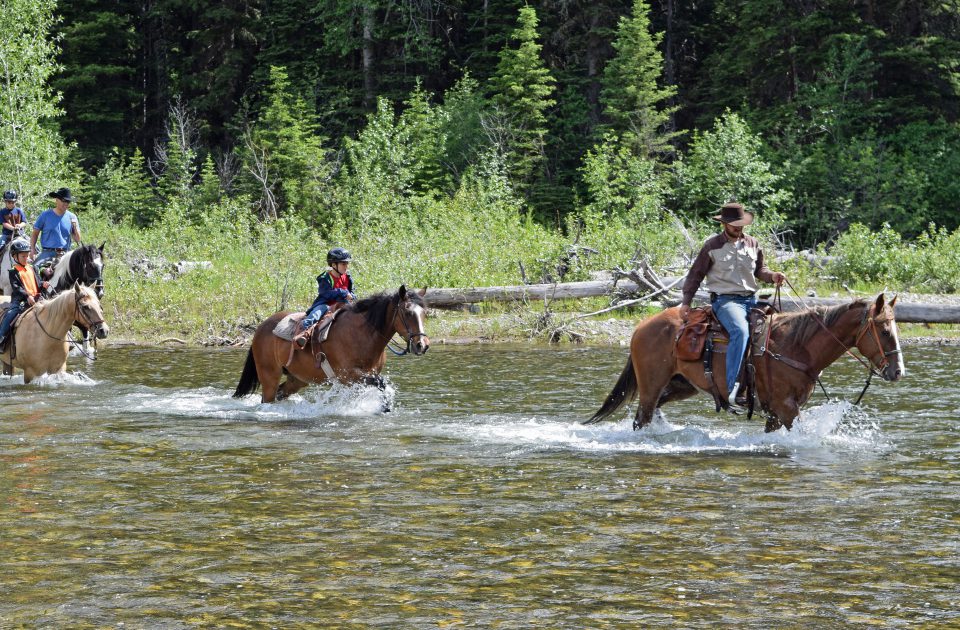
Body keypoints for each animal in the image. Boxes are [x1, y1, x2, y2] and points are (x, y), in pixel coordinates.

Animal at [231, 286, 430, 404]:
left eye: (424, 313)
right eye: (407, 312)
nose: (422, 345)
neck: (362, 335)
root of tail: (261, 328)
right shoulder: (349, 375)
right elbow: (381, 383)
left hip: (297, 379)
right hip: (269, 376)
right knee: (268, 397)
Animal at [584, 296, 908, 434]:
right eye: (884, 330)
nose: (897, 371)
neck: (797, 346)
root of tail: (642, 325)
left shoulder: (776, 412)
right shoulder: (786, 407)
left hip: (681, 385)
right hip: (651, 385)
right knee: (643, 417)